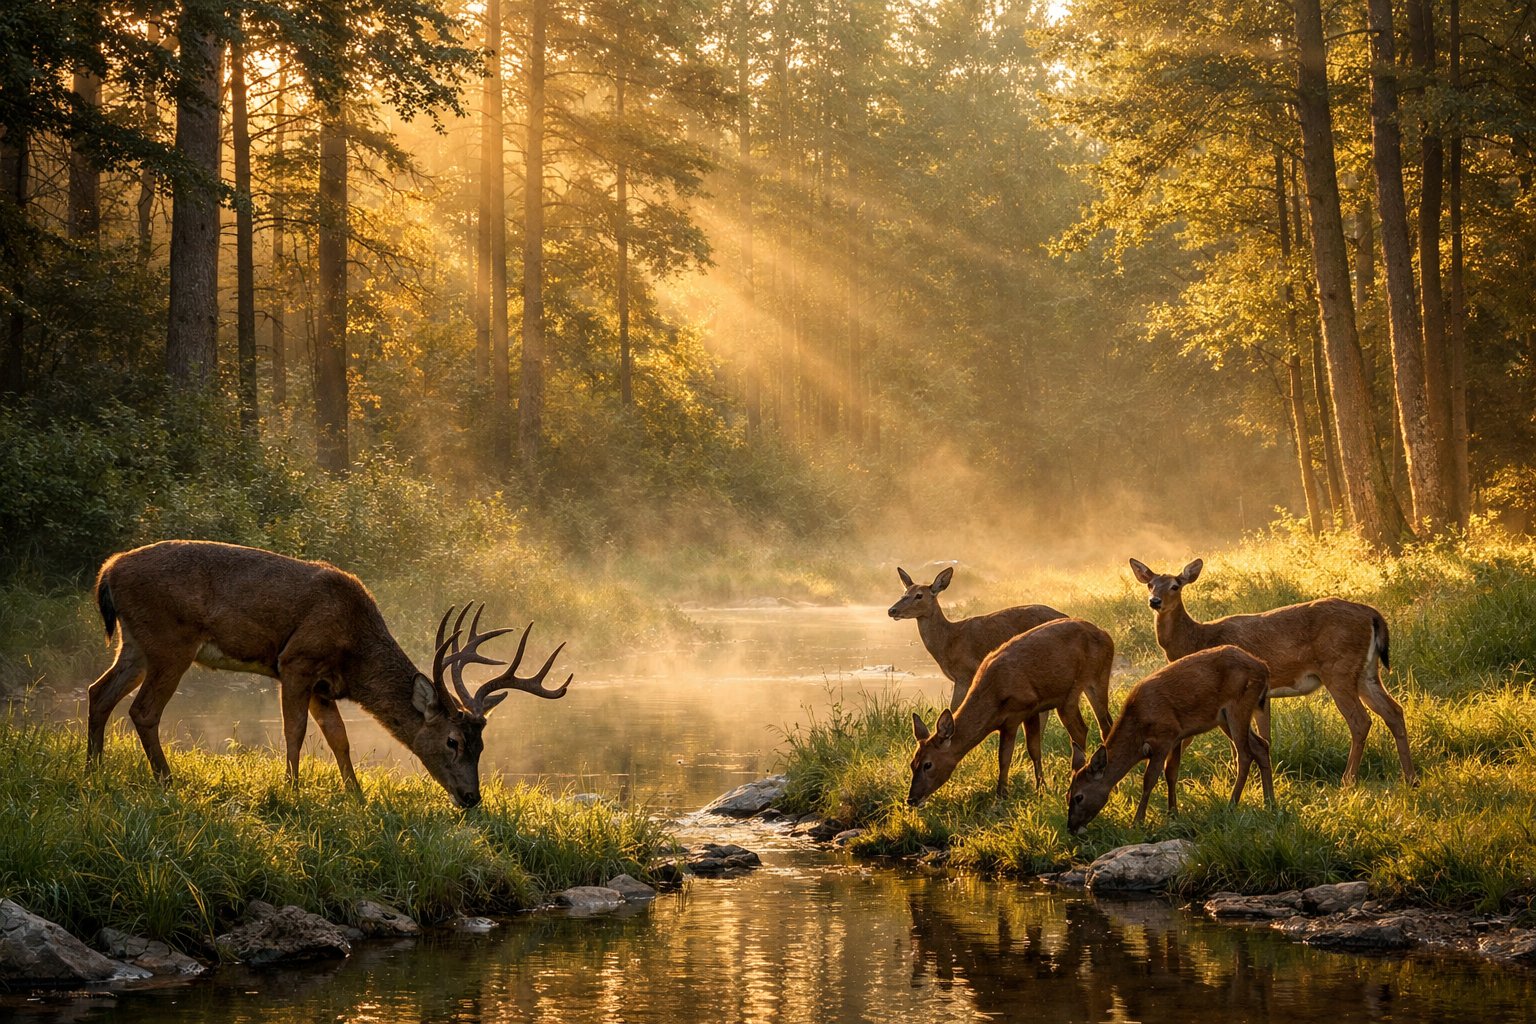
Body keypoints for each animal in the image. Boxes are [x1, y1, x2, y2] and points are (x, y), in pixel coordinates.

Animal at [86, 539, 572, 808]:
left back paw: (94, 770)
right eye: (452, 741)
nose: (471, 798)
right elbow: (295, 731)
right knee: (143, 710)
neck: (354, 651)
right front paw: (293, 791)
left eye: (482, 744)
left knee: (98, 691)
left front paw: (356, 796)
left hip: (135, 643)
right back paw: (165, 781)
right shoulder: (296, 662)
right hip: (170, 640)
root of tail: (107, 570)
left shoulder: (324, 687)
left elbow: (340, 738)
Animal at [889, 566, 1068, 710]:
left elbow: (954, 707)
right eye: (904, 593)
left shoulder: (965, 674)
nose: (892, 610)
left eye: (919, 595)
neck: (949, 641)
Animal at [907, 618, 1115, 807]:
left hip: (1078, 689)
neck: (994, 696)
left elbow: (1007, 757)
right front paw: (1039, 788)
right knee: (1103, 725)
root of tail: (1106, 635)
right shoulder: (1027, 713)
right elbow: (1032, 750)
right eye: (912, 763)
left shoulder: (1019, 712)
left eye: (928, 764)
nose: (912, 799)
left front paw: (1002, 796)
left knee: (1086, 730)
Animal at [1066, 645, 1275, 833]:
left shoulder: (1165, 736)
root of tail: (1263, 667)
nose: (1071, 828)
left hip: (1238, 707)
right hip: (1224, 718)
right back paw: (1269, 802)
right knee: (1261, 746)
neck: (1138, 727)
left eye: (1079, 797)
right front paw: (1173, 814)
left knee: (1245, 754)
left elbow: (1149, 778)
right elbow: (1171, 773)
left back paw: (1232, 804)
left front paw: (1137, 822)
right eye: (1067, 794)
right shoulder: (1176, 737)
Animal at [1128, 557, 1415, 786]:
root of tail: (1373, 614)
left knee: (1360, 721)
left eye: (1175, 586)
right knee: (1394, 711)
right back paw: (1410, 778)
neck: (1197, 640)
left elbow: (1239, 744)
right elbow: (1263, 737)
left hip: (1339, 669)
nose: (1154, 601)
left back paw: (1348, 780)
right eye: (1150, 584)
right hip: (1367, 672)